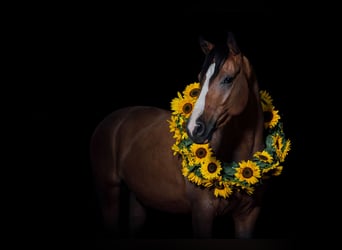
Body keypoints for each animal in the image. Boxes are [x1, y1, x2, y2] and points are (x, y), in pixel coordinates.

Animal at [89, 31, 290, 238]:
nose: (194, 128)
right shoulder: (202, 212)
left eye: (228, 79)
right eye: (200, 78)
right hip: (108, 190)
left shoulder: (248, 216)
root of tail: (112, 120)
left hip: (138, 198)